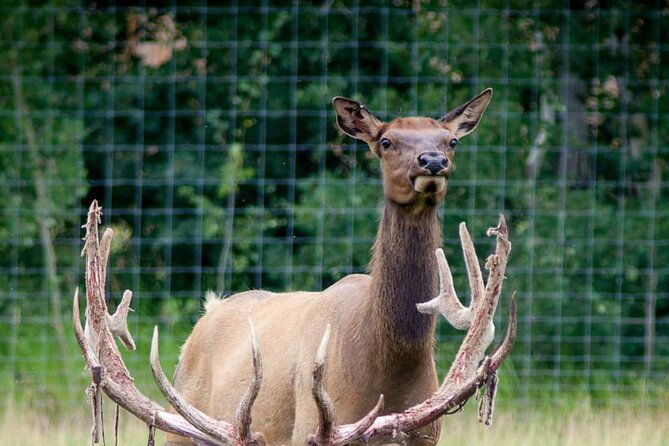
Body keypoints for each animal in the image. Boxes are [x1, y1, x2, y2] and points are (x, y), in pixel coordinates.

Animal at [74, 89, 516, 444]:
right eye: (386, 141)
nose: (433, 161)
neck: (388, 362)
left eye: (452, 140)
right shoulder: (311, 422)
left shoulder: (426, 432)